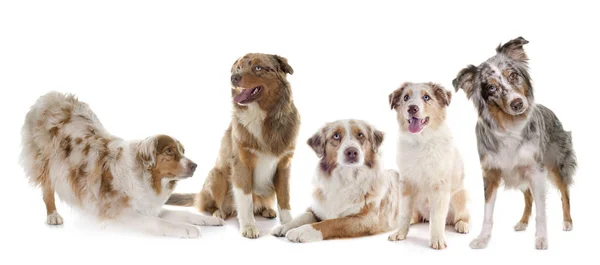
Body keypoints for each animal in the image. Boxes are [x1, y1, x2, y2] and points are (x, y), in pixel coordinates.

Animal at [272, 119, 404, 241]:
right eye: (336, 135)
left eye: (360, 135)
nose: (352, 152)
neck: (345, 179)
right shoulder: (316, 208)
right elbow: (303, 216)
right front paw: (285, 226)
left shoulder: (366, 219)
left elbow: (332, 222)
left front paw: (303, 231)